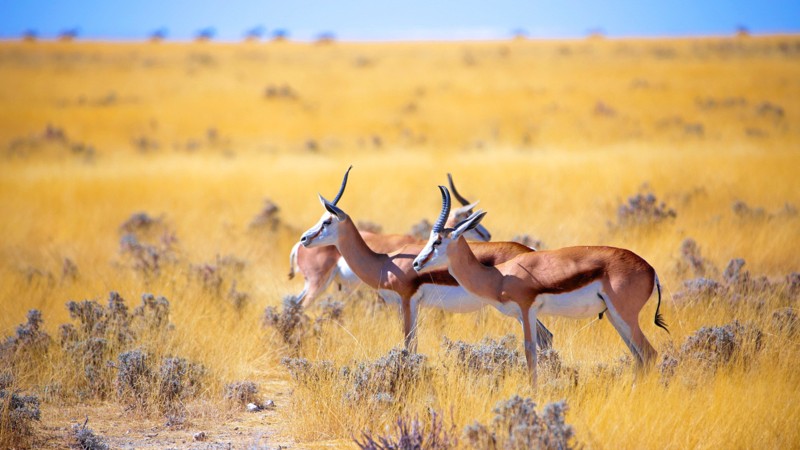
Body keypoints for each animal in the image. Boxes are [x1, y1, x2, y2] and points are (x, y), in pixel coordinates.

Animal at [412, 186, 668, 386]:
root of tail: (651, 270)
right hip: (616, 317)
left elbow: (530, 351)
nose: (416, 263)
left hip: (625, 316)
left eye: (437, 241)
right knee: (639, 357)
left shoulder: (527, 310)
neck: (499, 276)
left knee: (649, 354)